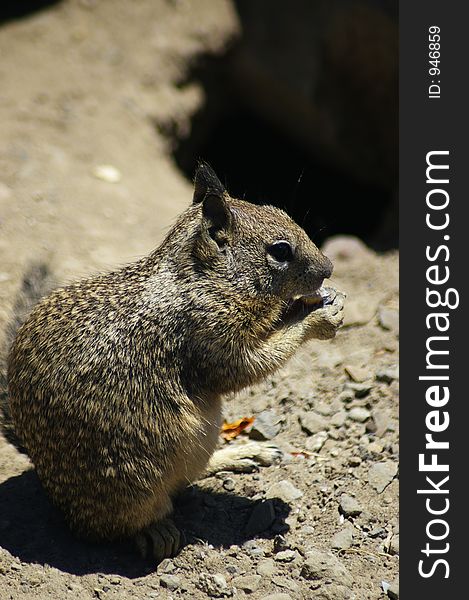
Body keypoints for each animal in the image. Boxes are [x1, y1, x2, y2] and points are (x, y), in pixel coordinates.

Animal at [6, 162, 344, 560]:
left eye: (284, 214)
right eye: (280, 251)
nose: (328, 267)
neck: (202, 279)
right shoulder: (214, 337)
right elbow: (251, 364)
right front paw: (317, 317)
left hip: (203, 436)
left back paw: (244, 452)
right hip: (136, 480)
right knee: (116, 524)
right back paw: (156, 530)